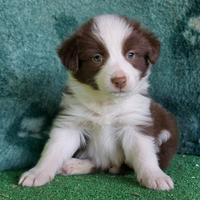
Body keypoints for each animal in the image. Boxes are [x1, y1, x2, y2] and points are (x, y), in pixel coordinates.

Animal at [18, 14, 178, 191]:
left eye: (131, 55)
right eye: (97, 58)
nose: (119, 80)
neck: (107, 102)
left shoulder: (135, 122)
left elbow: (144, 153)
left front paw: (155, 176)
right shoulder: (71, 122)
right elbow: (53, 149)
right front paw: (37, 173)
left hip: (168, 129)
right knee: (100, 164)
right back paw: (73, 165)